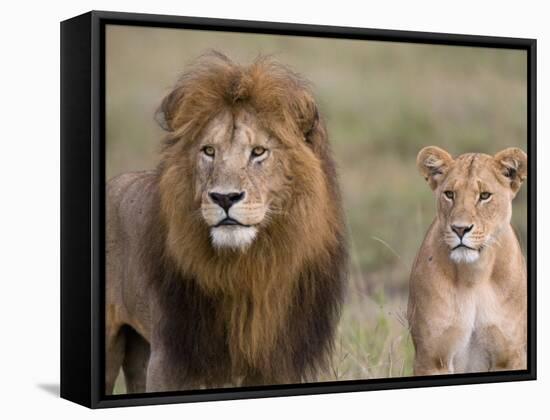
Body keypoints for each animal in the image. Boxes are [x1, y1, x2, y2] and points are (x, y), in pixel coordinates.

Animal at [105, 52, 348, 394]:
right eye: (209, 150)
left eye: (258, 152)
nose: (224, 197)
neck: (245, 269)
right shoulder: (171, 358)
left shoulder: (277, 362)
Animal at [410, 147, 532, 374]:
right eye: (449, 194)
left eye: (484, 196)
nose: (460, 229)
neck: (474, 275)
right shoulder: (432, 358)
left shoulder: (509, 356)